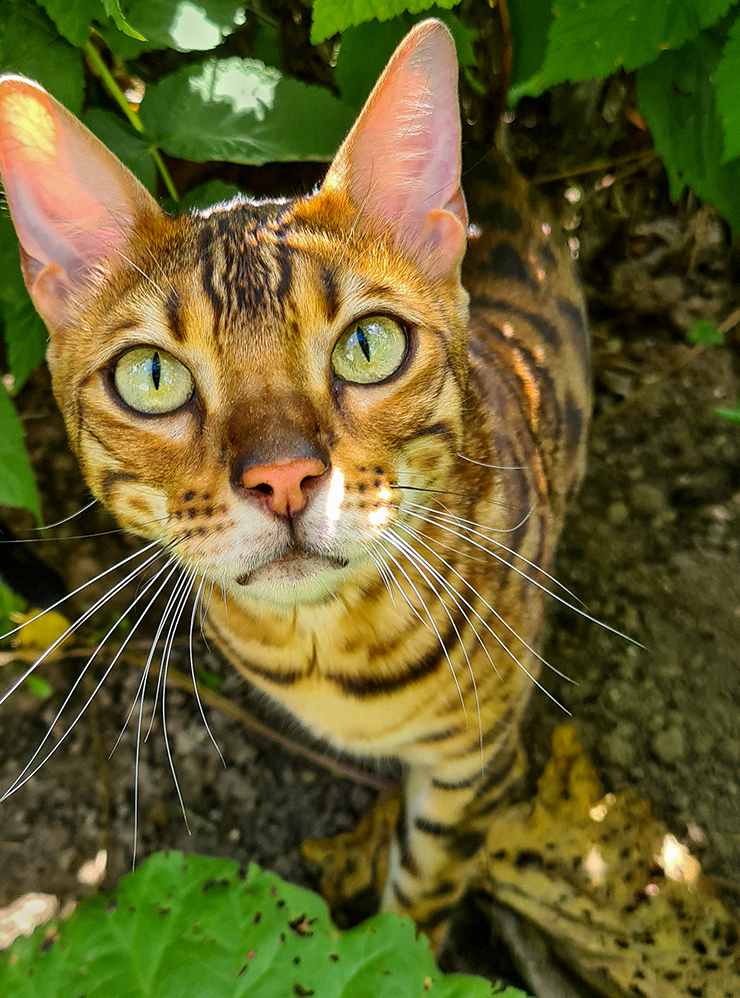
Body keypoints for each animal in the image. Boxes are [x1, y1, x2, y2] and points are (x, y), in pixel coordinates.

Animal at [0, 19, 588, 948]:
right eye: (152, 377)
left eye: (368, 346)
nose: (283, 477)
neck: (325, 645)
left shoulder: (477, 767)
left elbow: (419, 908)